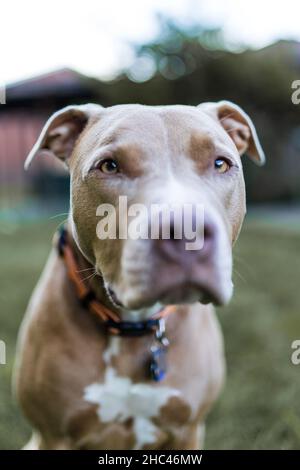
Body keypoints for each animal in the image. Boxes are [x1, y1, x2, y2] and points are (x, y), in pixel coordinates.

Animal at [14, 101, 264, 450]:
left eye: (220, 163)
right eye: (109, 166)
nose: (186, 231)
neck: (133, 326)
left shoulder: (188, 430)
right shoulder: (54, 436)